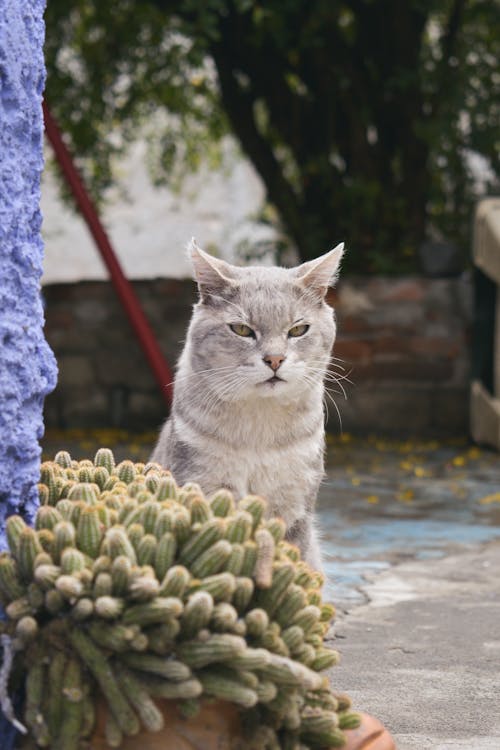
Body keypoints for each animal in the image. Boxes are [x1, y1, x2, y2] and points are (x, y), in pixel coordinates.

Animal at [150, 241, 344, 568]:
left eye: (298, 330)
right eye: (241, 330)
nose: (275, 359)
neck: (259, 430)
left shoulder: (294, 510)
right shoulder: (206, 487)